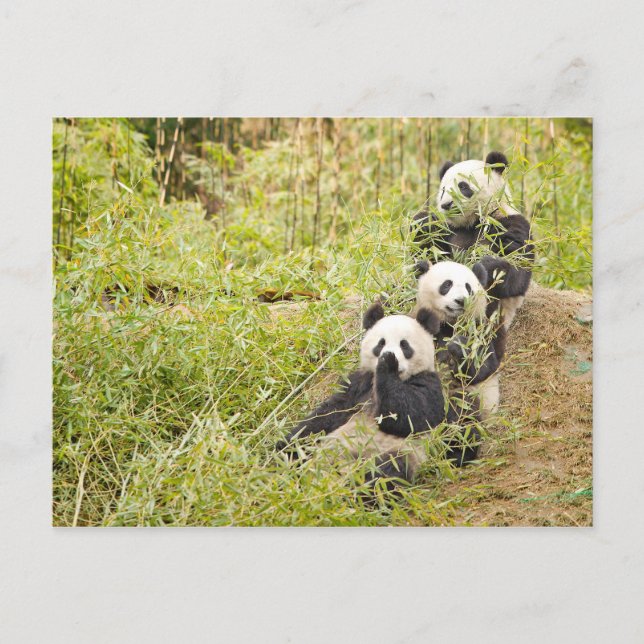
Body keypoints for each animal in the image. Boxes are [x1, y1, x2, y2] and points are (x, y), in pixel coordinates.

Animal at [276, 302, 480, 490]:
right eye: (380, 343)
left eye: (404, 345)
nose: (389, 353)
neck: (399, 378)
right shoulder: (359, 385)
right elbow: (327, 415)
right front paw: (285, 443)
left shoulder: (428, 384)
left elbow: (411, 416)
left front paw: (388, 364)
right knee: (299, 452)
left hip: (393, 453)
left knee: (385, 474)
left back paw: (358, 489)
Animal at [412, 151, 534, 329]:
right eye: (443, 190)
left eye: (463, 186)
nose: (446, 204)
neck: (473, 222)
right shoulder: (450, 231)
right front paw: (423, 224)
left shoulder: (510, 224)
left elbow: (516, 268)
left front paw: (485, 265)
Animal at [414, 260, 506, 417]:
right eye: (447, 284)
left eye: (468, 287)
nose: (461, 300)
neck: (451, 323)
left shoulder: (479, 330)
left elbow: (484, 367)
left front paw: (458, 347)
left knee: (463, 406)